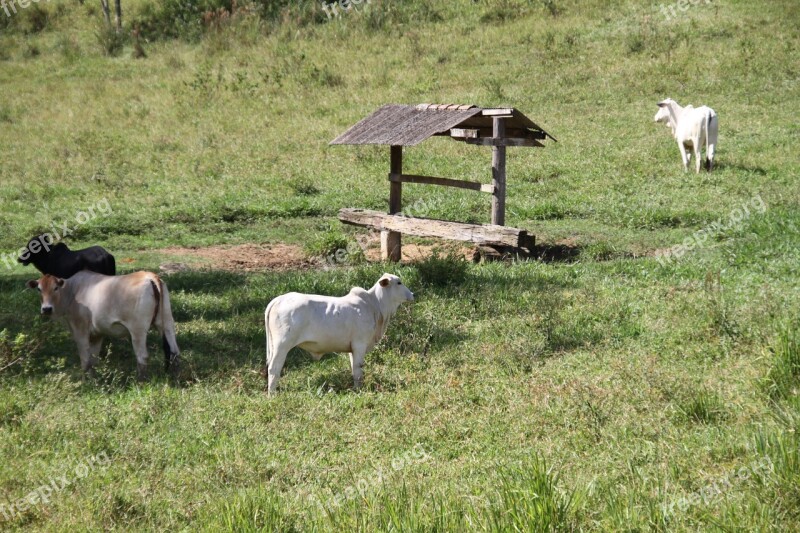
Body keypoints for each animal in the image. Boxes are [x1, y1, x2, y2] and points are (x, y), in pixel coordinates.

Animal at [27, 270, 181, 378]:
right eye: (39, 289)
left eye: (55, 288)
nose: (46, 309)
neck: (72, 292)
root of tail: (150, 276)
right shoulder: (97, 334)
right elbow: (93, 360)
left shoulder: (80, 331)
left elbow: (85, 360)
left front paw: (86, 383)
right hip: (167, 323)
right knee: (174, 352)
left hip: (138, 330)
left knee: (142, 356)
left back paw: (140, 381)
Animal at [264, 274, 416, 390]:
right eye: (399, 282)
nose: (412, 294)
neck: (375, 305)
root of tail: (278, 299)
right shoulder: (360, 344)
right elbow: (358, 370)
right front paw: (359, 389)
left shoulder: (352, 348)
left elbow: (354, 369)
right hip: (281, 345)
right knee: (273, 369)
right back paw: (272, 394)